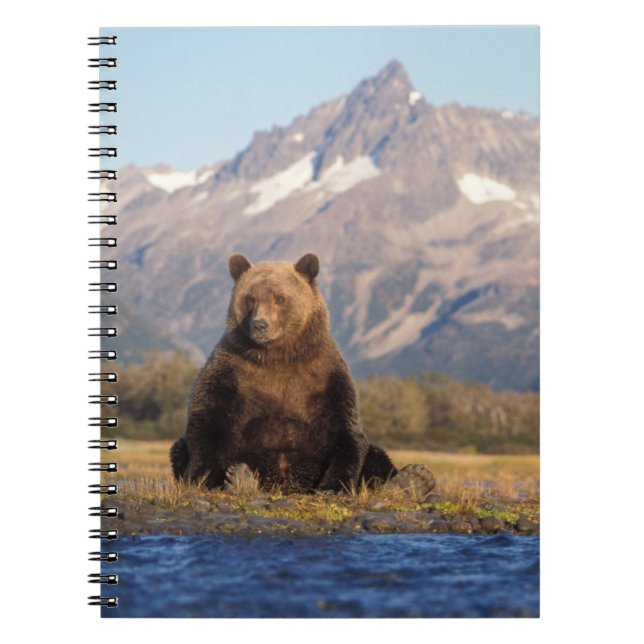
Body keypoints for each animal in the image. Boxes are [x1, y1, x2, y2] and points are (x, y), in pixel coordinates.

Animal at [170, 252, 435, 499]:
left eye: (280, 298)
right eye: (250, 298)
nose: (260, 325)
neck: (277, 357)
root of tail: (289, 487)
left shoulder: (324, 376)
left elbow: (344, 430)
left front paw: (333, 486)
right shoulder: (231, 371)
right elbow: (209, 422)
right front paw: (206, 478)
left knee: (376, 455)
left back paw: (413, 479)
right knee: (179, 447)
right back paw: (241, 479)